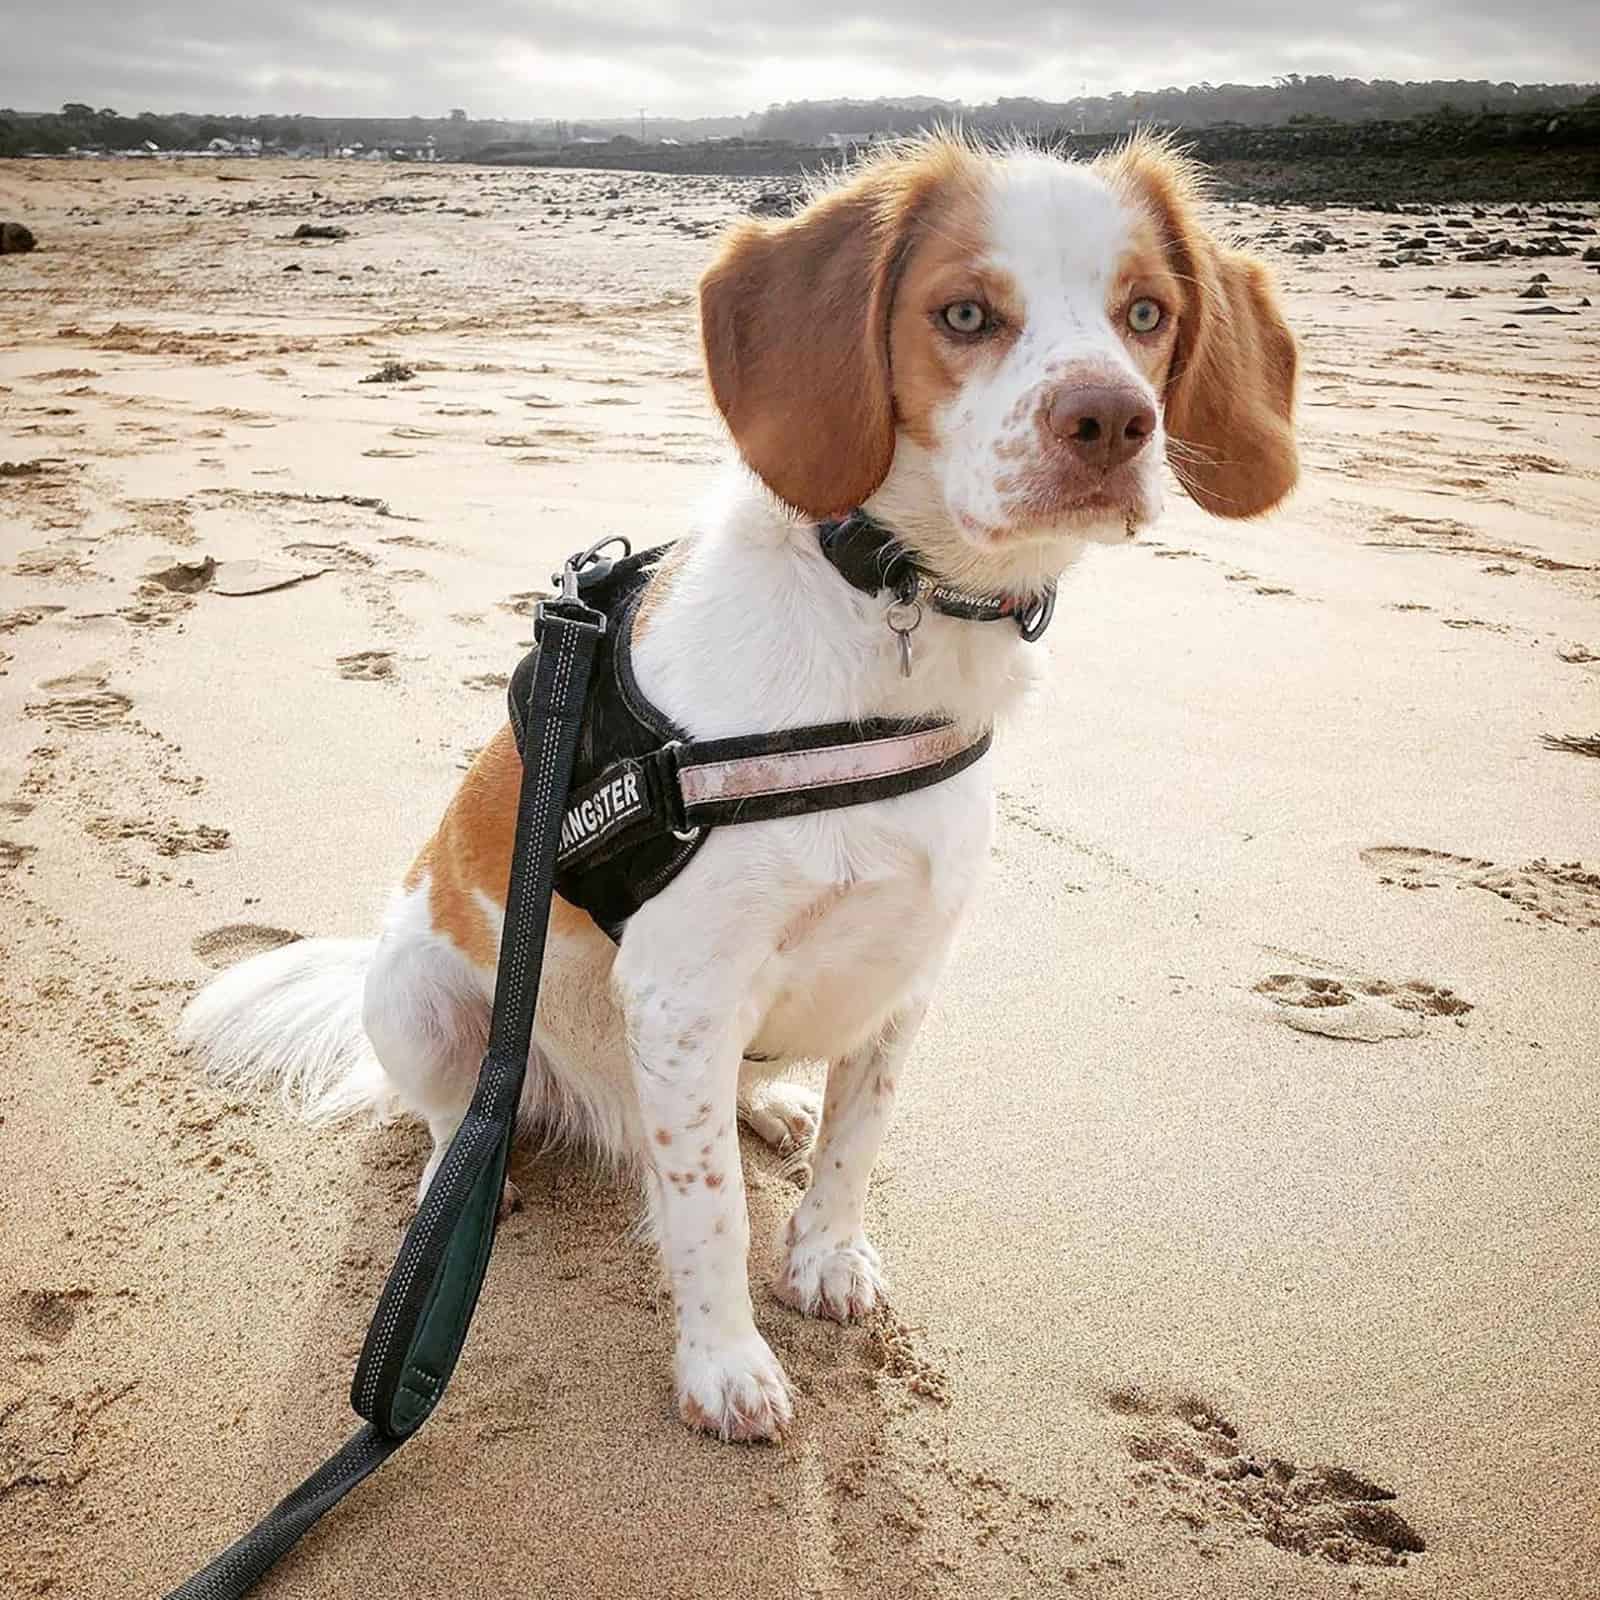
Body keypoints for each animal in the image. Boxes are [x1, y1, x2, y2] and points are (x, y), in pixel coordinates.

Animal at [178, 131, 1299, 1446]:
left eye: (1146, 314)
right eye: (964, 313)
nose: (1113, 419)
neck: (894, 610)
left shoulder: (905, 968)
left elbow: (859, 1140)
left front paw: (825, 1256)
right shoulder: (682, 992)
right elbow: (707, 1210)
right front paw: (722, 1363)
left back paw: (769, 1106)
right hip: (416, 990)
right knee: (459, 1112)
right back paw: (474, 1177)